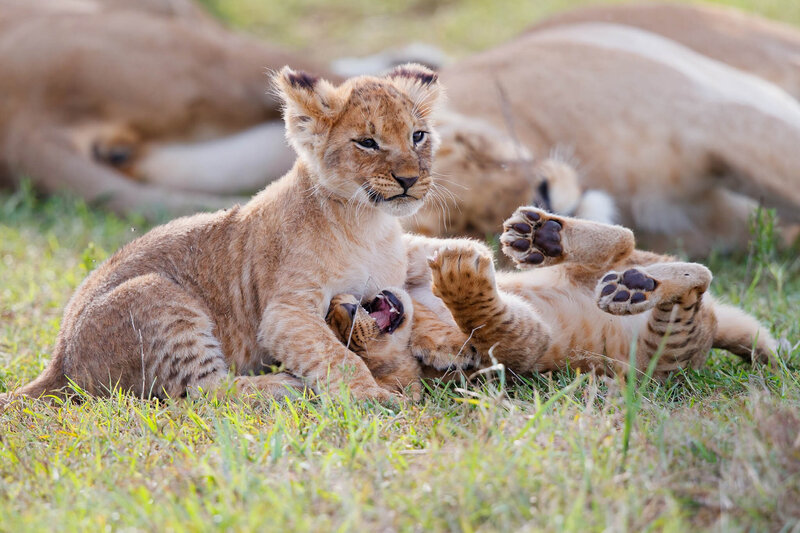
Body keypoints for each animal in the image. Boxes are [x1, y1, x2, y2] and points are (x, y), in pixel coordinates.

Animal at [0, 64, 443, 405]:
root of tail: (59, 360)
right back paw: (286, 384)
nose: (410, 180)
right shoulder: (285, 313)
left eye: (417, 136)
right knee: (206, 391)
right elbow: (336, 355)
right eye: (367, 142)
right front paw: (372, 395)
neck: (368, 223)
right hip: (155, 296)